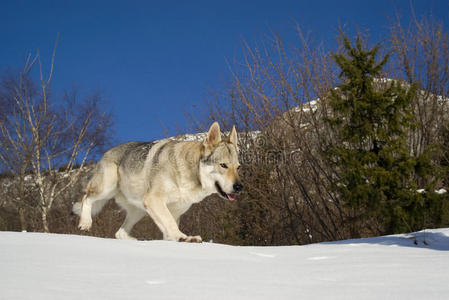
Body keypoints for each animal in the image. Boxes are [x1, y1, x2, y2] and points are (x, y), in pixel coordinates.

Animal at [72, 122, 242, 241]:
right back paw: (85, 223)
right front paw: (183, 238)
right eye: (223, 165)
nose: (239, 187)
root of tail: (107, 152)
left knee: (119, 233)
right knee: (86, 198)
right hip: (107, 188)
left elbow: (168, 229)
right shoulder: (155, 200)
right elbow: (170, 224)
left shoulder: (173, 211)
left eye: (238, 167)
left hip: (140, 210)